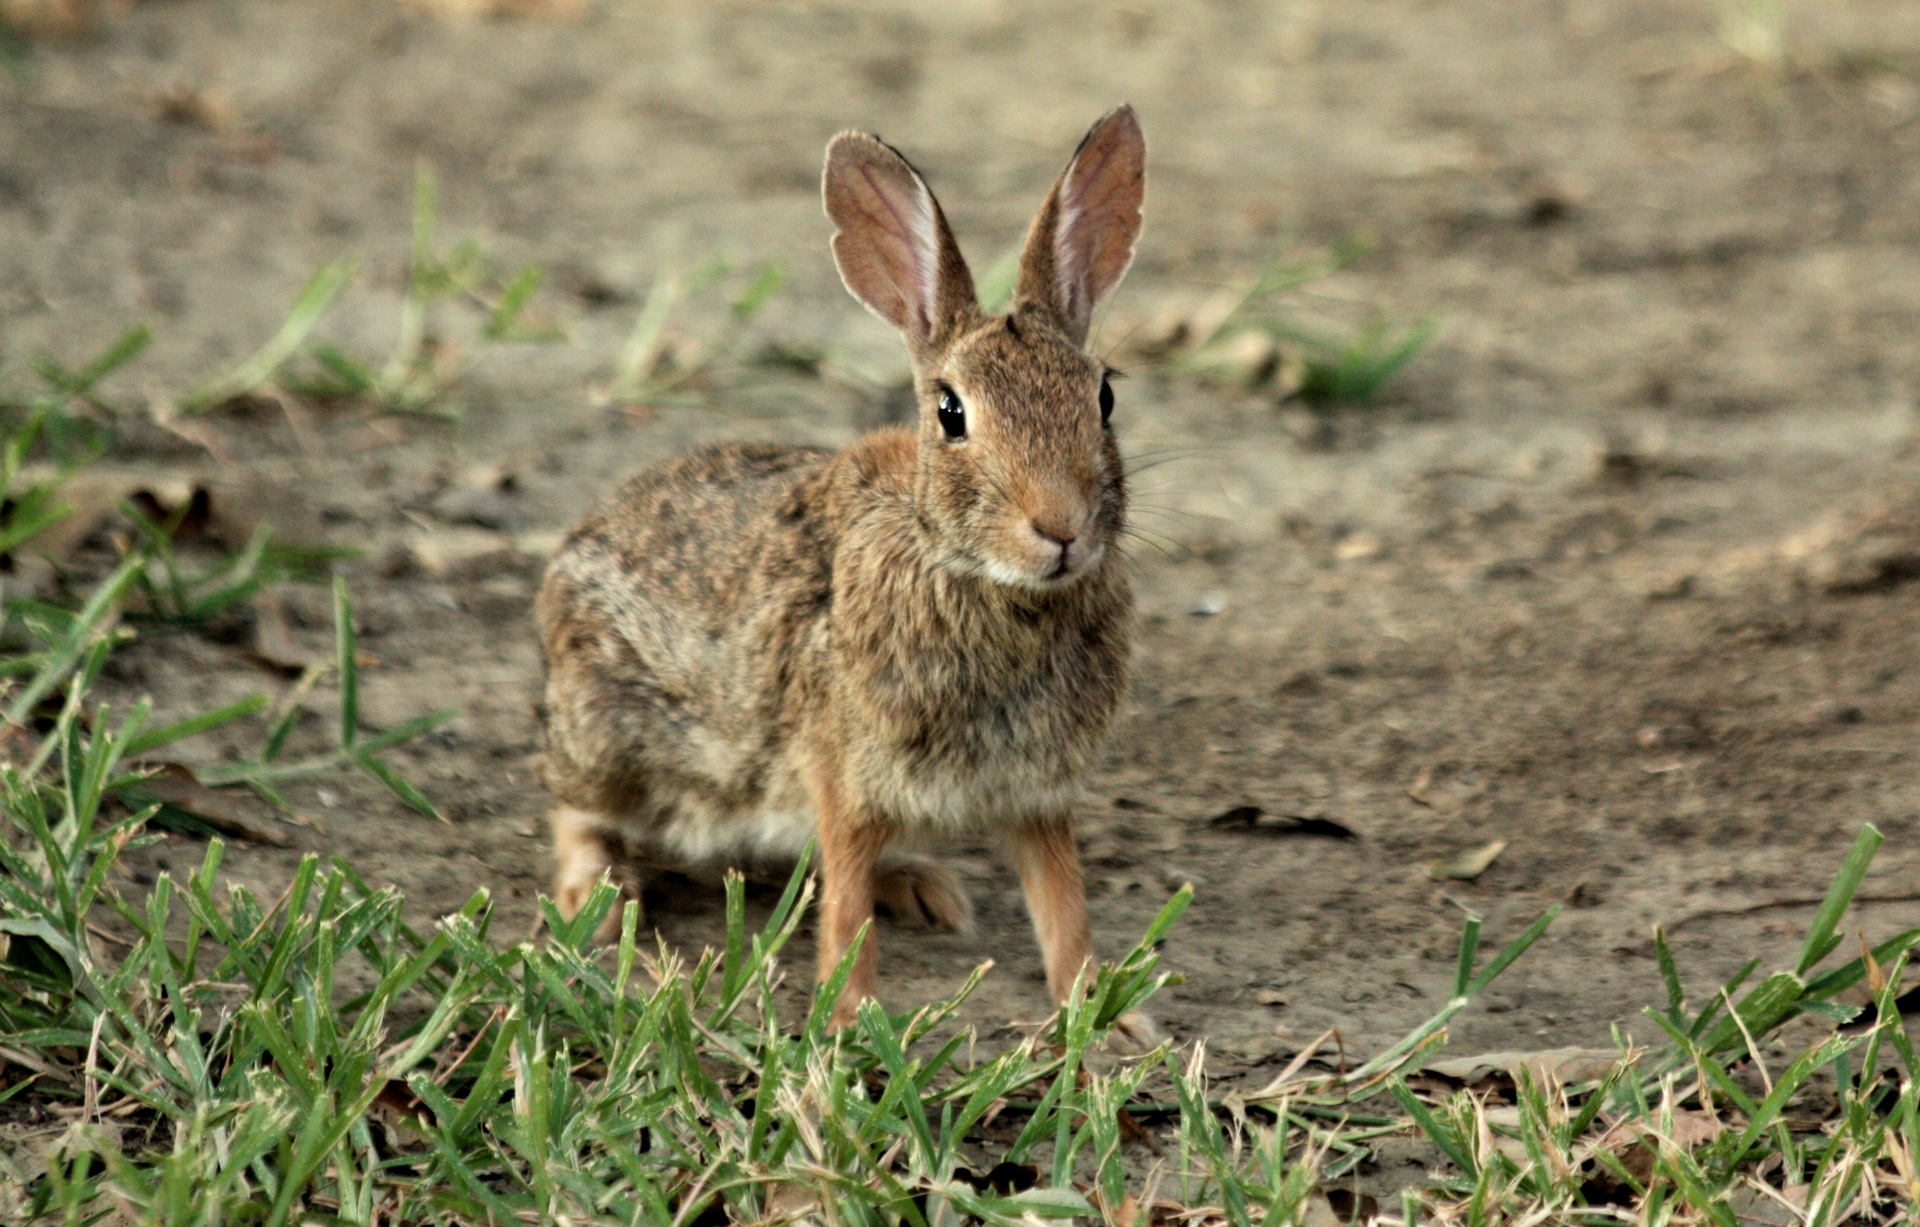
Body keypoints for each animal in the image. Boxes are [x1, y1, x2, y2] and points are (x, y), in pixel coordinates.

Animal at [533, 103, 1144, 1044]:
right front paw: (849, 1018)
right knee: (576, 806)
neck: (971, 573)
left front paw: (1104, 1014)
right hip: (609, 737)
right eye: (951, 412)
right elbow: (847, 906)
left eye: (1104, 396)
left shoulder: (1036, 791)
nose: (1061, 528)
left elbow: (1062, 904)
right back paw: (594, 898)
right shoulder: (844, 772)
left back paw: (922, 884)